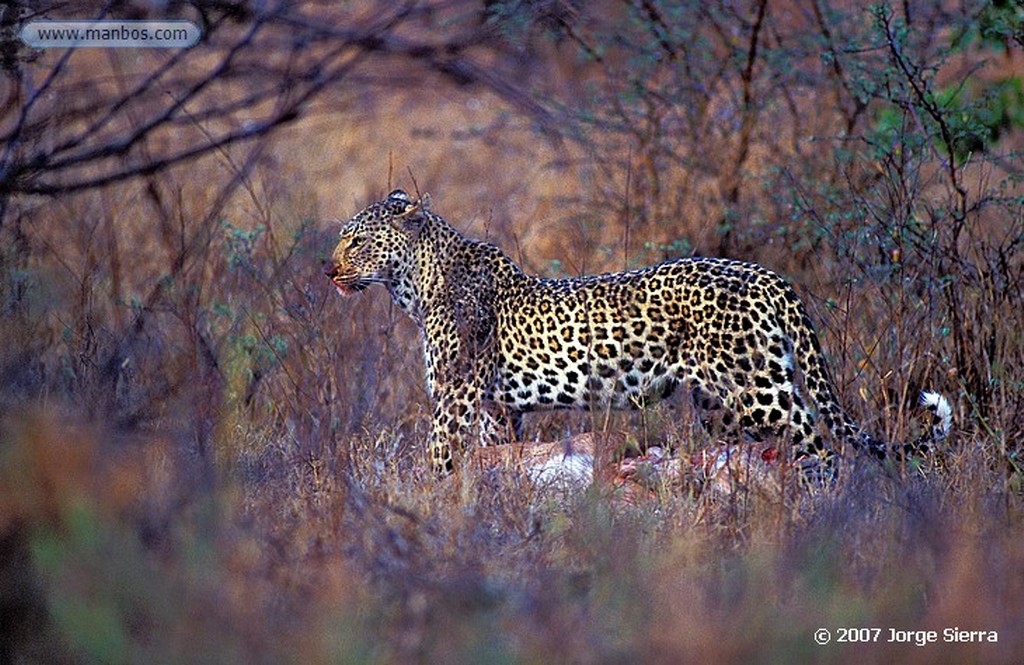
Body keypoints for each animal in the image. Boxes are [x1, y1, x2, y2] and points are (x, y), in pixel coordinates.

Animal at [327, 188, 950, 477]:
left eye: (356, 242)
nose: (328, 272)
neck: (414, 284)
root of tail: (766, 275)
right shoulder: (497, 409)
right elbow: (490, 458)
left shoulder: (455, 395)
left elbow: (438, 454)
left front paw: (428, 502)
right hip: (719, 404)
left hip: (759, 390)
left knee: (816, 439)